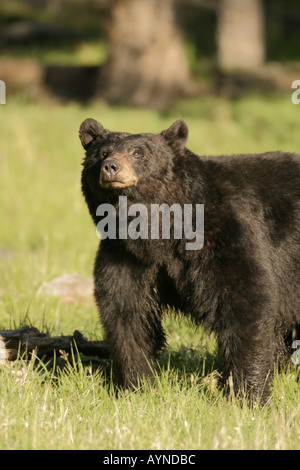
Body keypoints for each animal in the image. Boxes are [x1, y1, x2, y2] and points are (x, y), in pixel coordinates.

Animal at [79, 117, 300, 400]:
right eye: (102, 153)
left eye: (138, 152)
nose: (111, 167)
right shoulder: (125, 255)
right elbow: (127, 312)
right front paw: (137, 386)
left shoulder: (223, 234)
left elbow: (244, 301)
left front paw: (247, 393)